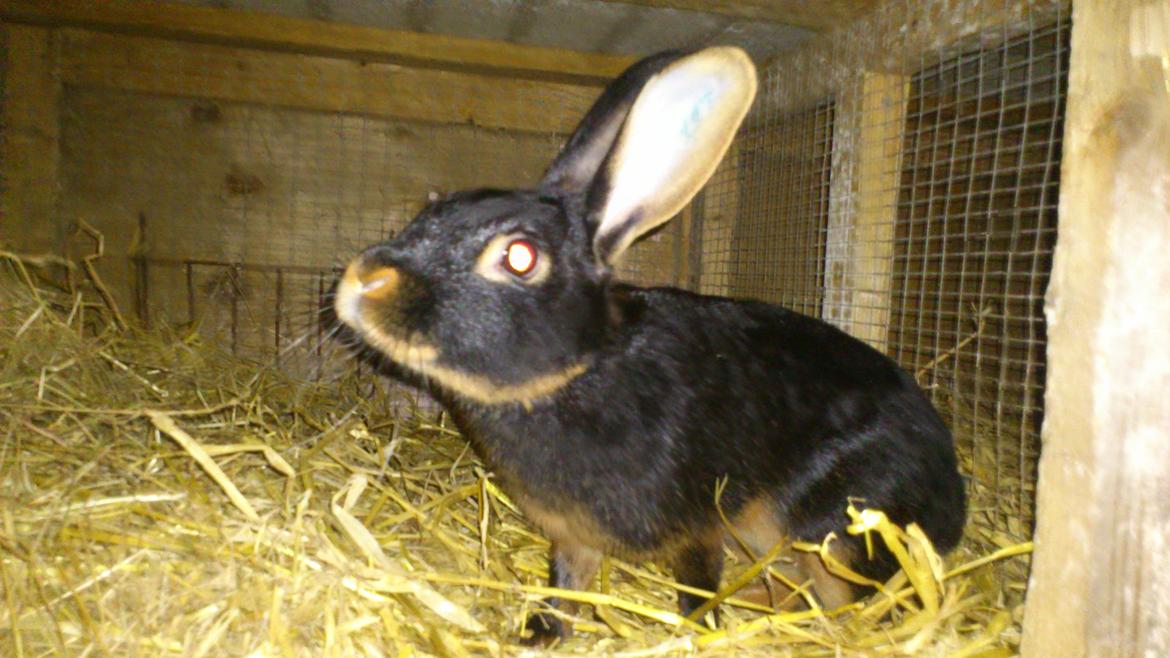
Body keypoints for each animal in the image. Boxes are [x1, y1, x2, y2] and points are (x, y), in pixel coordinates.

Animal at [333, 46, 966, 644]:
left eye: (520, 257)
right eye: (434, 207)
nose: (363, 281)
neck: (579, 371)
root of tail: (952, 498)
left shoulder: (698, 527)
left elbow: (697, 587)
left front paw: (698, 631)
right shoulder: (572, 537)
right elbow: (566, 587)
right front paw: (539, 634)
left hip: (837, 528)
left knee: (842, 603)